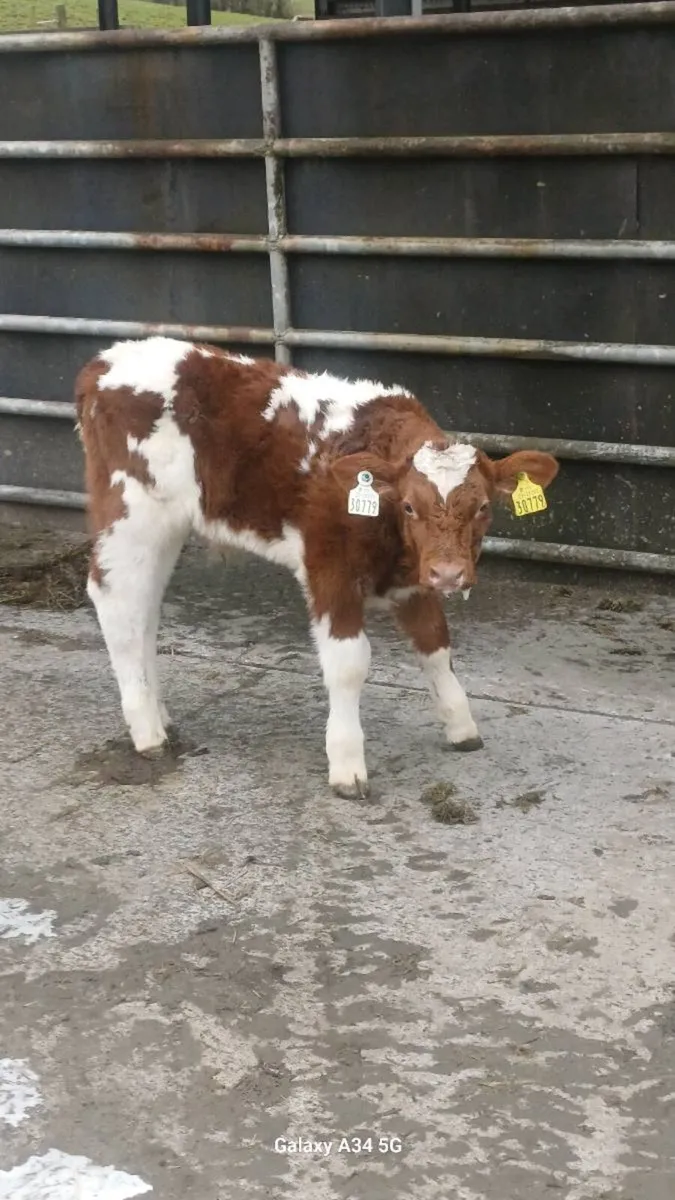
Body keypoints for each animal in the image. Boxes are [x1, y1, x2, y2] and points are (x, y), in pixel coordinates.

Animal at [75, 336, 558, 796]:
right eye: (409, 506)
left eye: (482, 507)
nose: (450, 574)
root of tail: (103, 364)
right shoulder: (329, 568)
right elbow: (348, 663)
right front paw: (346, 764)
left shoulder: (412, 578)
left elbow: (436, 645)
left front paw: (461, 726)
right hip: (131, 513)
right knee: (117, 603)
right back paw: (148, 732)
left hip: (166, 527)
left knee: (145, 609)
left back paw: (161, 715)